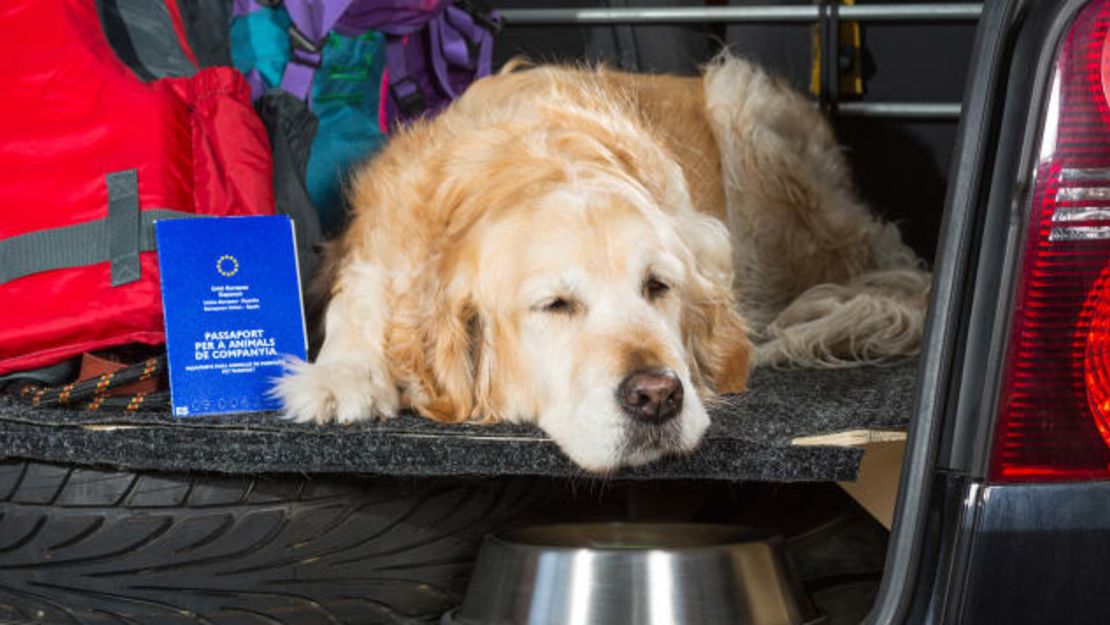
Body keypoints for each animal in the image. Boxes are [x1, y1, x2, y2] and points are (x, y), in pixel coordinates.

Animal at [277, 56, 927, 472]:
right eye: (555, 304)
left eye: (658, 286)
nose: (657, 396)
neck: (534, 157)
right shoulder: (381, 241)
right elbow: (357, 295)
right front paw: (341, 375)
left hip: (747, 115)